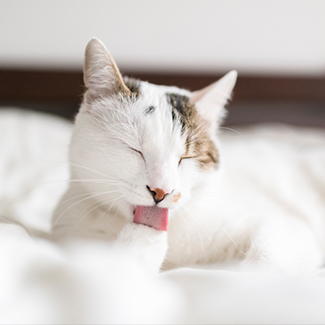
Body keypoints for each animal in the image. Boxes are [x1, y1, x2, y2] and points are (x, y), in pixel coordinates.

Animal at [51, 38, 322, 274]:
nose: (161, 192)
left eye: (186, 157)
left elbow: (266, 260)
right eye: (134, 149)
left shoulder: (283, 225)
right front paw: (145, 239)